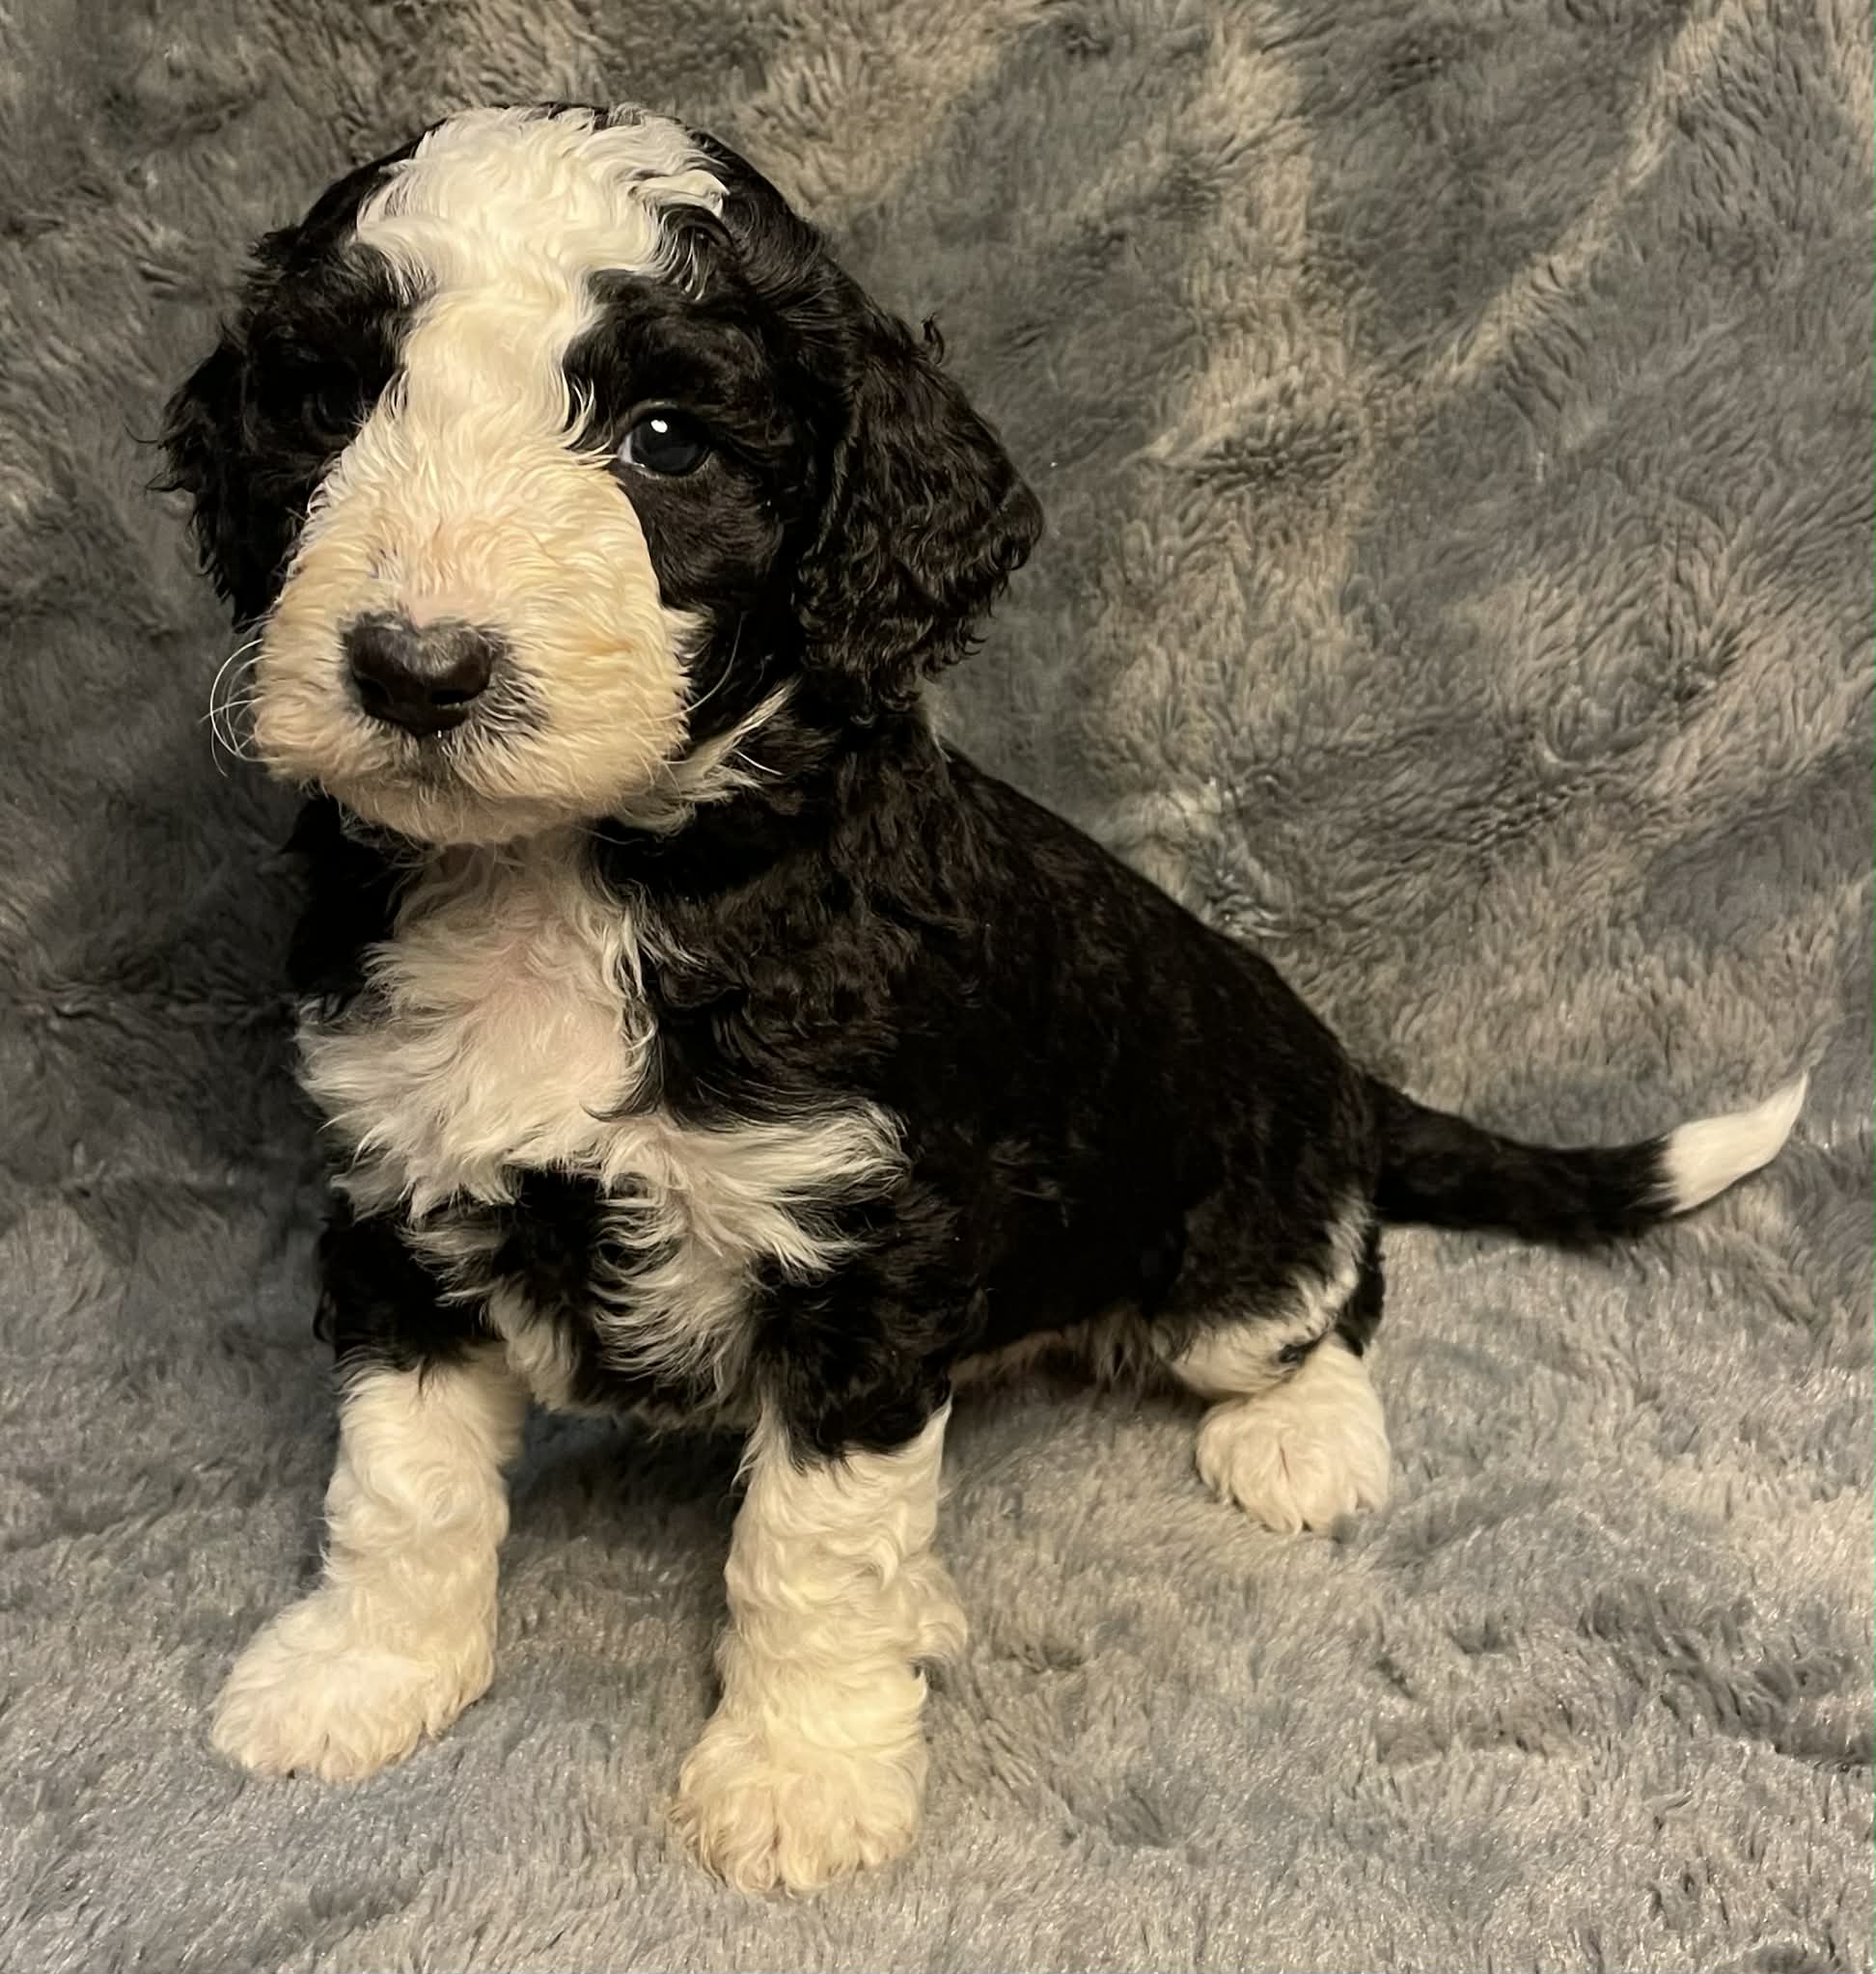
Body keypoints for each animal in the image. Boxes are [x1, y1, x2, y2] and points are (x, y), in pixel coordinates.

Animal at [161, 103, 1806, 1894]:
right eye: (330, 405)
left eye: (665, 440)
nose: (416, 671)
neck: (582, 876)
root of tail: (1335, 1073)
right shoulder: (400, 1195)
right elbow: (401, 1485)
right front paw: (362, 1672)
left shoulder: (863, 1257)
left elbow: (810, 1550)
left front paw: (799, 1771)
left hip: (1225, 1222)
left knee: (1332, 1296)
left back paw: (1300, 1441)